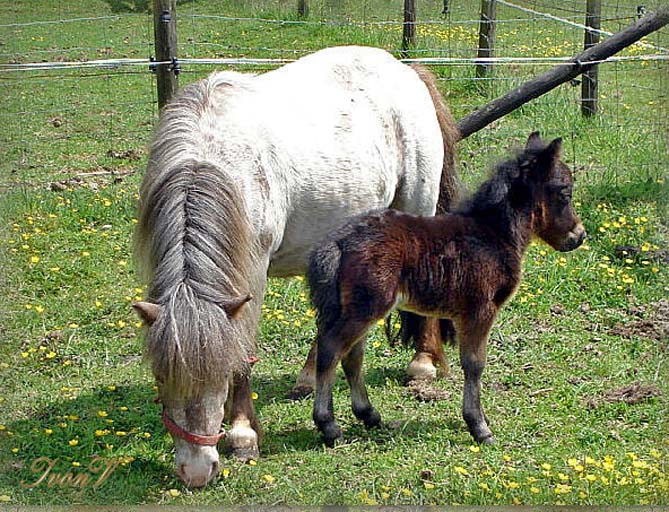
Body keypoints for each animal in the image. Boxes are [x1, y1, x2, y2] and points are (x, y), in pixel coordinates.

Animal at [136, 47, 460, 488]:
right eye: (160, 377)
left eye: (216, 375)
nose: (197, 471)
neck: (213, 158)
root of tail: (405, 70)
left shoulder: (252, 274)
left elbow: (243, 350)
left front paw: (243, 434)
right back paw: (309, 378)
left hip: (417, 207)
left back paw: (423, 363)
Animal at [308, 133, 584, 448]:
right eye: (564, 192)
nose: (579, 236)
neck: (493, 235)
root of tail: (338, 242)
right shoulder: (480, 310)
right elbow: (475, 363)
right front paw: (479, 426)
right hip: (366, 306)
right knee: (331, 350)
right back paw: (329, 425)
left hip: (360, 308)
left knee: (352, 356)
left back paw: (369, 415)